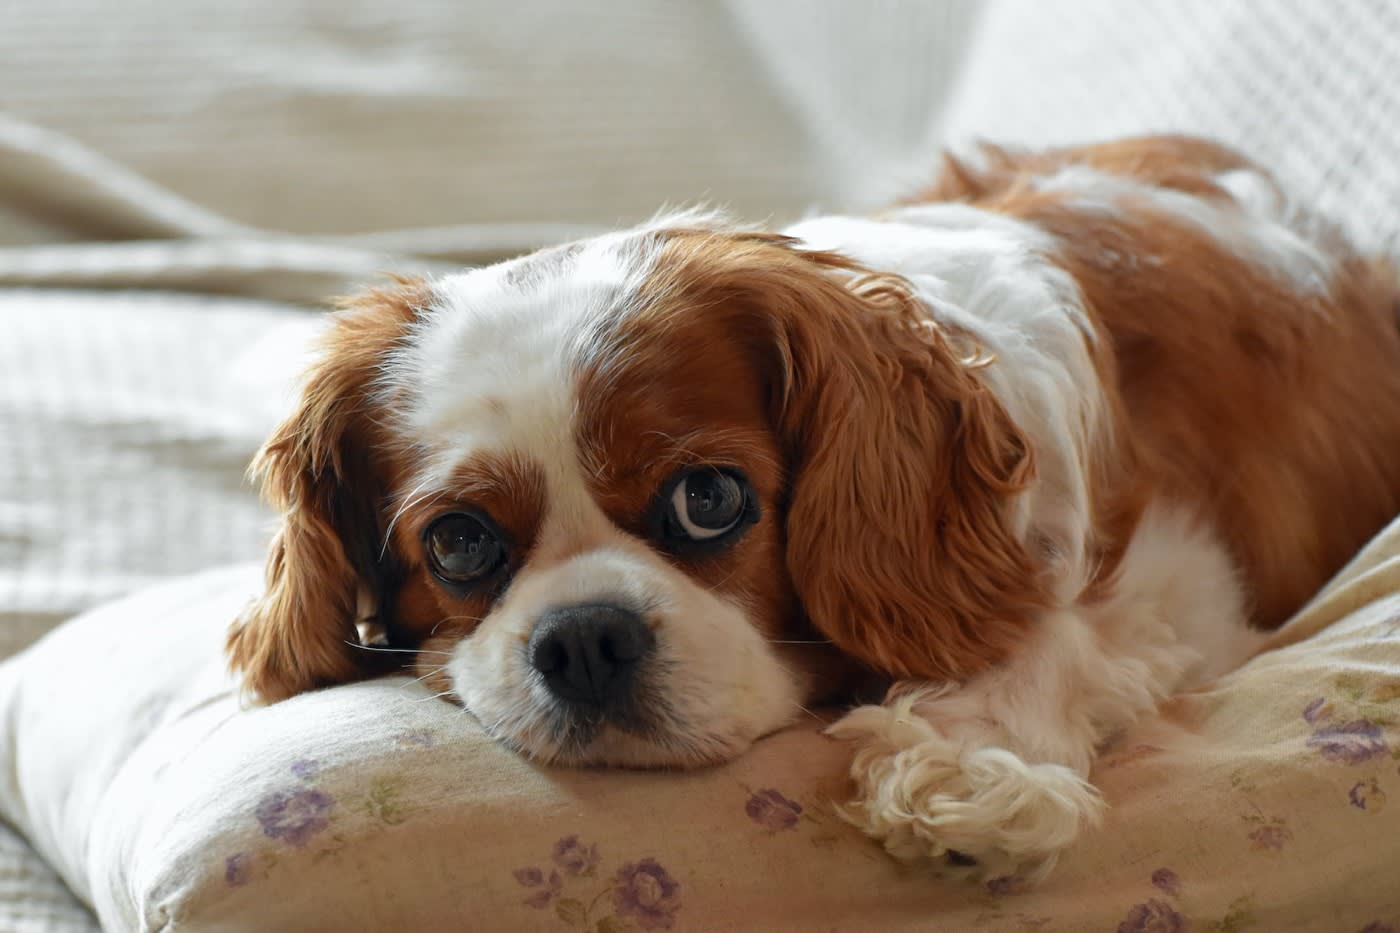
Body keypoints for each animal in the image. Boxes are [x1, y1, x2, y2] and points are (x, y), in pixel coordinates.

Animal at [224, 134, 1400, 874]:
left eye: (709, 499)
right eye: (459, 544)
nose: (583, 639)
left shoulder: (1190, 570)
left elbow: (1059, 626)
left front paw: (972, 760)